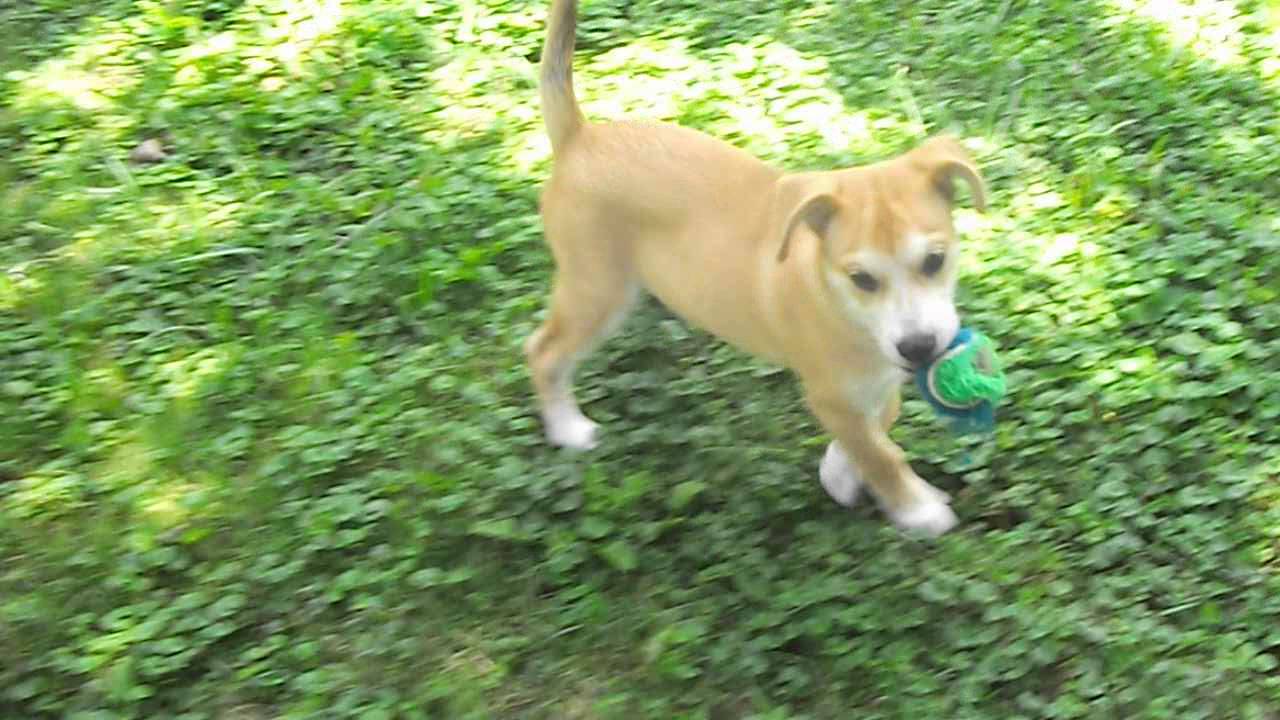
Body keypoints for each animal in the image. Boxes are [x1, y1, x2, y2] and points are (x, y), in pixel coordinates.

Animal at [519, 0, 988, 532]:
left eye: (935, 260)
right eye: (861, 278)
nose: (919, 348)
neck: (838, 302)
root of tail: (579, 137)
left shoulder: (872, 386)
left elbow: (874, 429)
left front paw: (839, 474)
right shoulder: (829, 391)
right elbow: (879, 453)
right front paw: (917, 509)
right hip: (596, 289)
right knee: (543, 352)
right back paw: (567, 428)